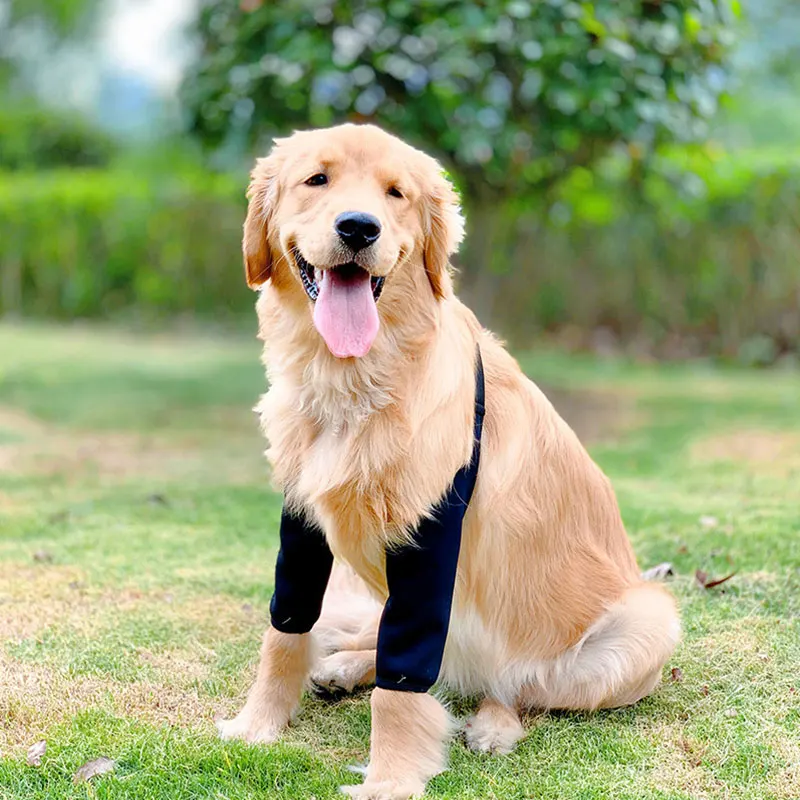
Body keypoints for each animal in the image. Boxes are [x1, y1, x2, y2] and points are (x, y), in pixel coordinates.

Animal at [219, 122, 680, 796]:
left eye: (396, 193)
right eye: (316, 179)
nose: (359, 228)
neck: (353, 382)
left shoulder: (430, 529)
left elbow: (402, 684)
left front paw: (389, 781)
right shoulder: (300, 520)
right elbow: (286, 629)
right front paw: (257, 725)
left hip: (649, 621)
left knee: (516, 686)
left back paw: (491, 724)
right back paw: (345, 665)